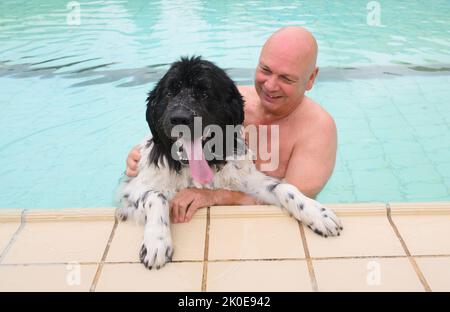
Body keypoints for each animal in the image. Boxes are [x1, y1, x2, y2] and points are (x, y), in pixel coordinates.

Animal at [116, 56, 342, 270]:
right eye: (170, 92)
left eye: (204, 93)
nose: (179, 118)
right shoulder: (131, 191)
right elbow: (156, 196)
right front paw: (157, 242)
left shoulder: (248, 180)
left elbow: (284, 187)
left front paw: (317, 212)